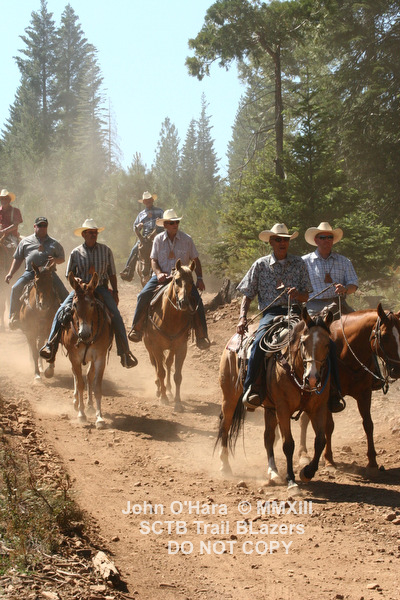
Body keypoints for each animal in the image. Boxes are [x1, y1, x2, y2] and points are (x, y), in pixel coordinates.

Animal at [61, 272, 113, 429]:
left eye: (92, 304)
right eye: (75, 304)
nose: (84, 333)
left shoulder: (100, 357)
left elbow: (97, 386)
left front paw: (99, 418)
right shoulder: (74, 357)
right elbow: (80, 384)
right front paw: (81, 414)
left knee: (89, 376)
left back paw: (89, 405)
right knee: (76, 376)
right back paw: (76, 402)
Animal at [143, 259, 196, 412]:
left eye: (192, 281)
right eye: (177, 280)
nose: (184, 302)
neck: (170, 318)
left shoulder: (181, 347)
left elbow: (177, 375)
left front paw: (177, 402)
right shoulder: (155, 347)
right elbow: (160, 371)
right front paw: (163, 398)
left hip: (171, 348)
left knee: (167, 363)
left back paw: (168, 389)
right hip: (149, 346)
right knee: (156, 364)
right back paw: (159, 389)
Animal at [217, 308, 333, 492]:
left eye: (327, 344)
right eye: (304, 343)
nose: (313, 378)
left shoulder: (318, 408)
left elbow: (320, 441)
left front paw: (307, 472)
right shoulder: (283, 409)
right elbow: (288, 444)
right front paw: (292, 480)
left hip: (270, 408)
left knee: (268, 437)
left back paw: (273, 472)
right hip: (229, 398)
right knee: (225, 428)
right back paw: (225, 467)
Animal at [298, 303, 400, 474]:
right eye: (385, 336)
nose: (397, 369)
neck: (346, 352)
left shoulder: (364, 393)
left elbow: (368, 424)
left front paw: (372, 461)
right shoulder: (328, 396)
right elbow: (329, 426)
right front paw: (329, 461)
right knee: (303, 421)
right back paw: (303, 454)